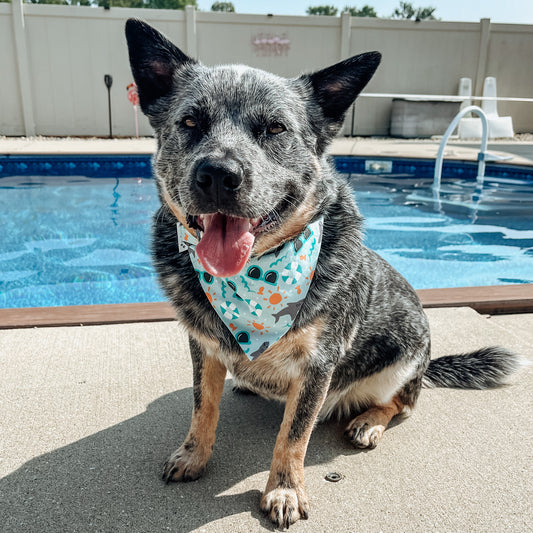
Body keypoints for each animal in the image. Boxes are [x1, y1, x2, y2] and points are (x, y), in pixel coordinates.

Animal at [123, 20, 520, 528]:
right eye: (190, 122)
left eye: (275, 128)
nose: (217, 174)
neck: (253, 279)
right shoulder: (203, 346)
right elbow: (202, 407)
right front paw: (194, 454)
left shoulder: (319, 363)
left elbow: (293, 435)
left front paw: (284, 490)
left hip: (401, 361)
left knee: (401, 404)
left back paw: (368, 421)